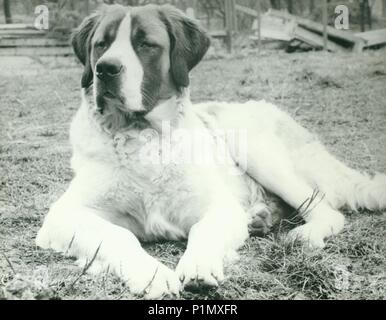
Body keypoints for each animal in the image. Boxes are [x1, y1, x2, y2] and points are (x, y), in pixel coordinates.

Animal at [36, 3, 386, 298]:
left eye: (145, 44)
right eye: (101, 44)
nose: (106, 69)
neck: (143, 134)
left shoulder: (219, 207)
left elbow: (203, 230)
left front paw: (198, 266)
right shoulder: (64, 215)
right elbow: (118, 235)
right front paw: (151, 274)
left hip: (253, 148)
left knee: (326, 210)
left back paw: (304, 233)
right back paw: (260, 217)